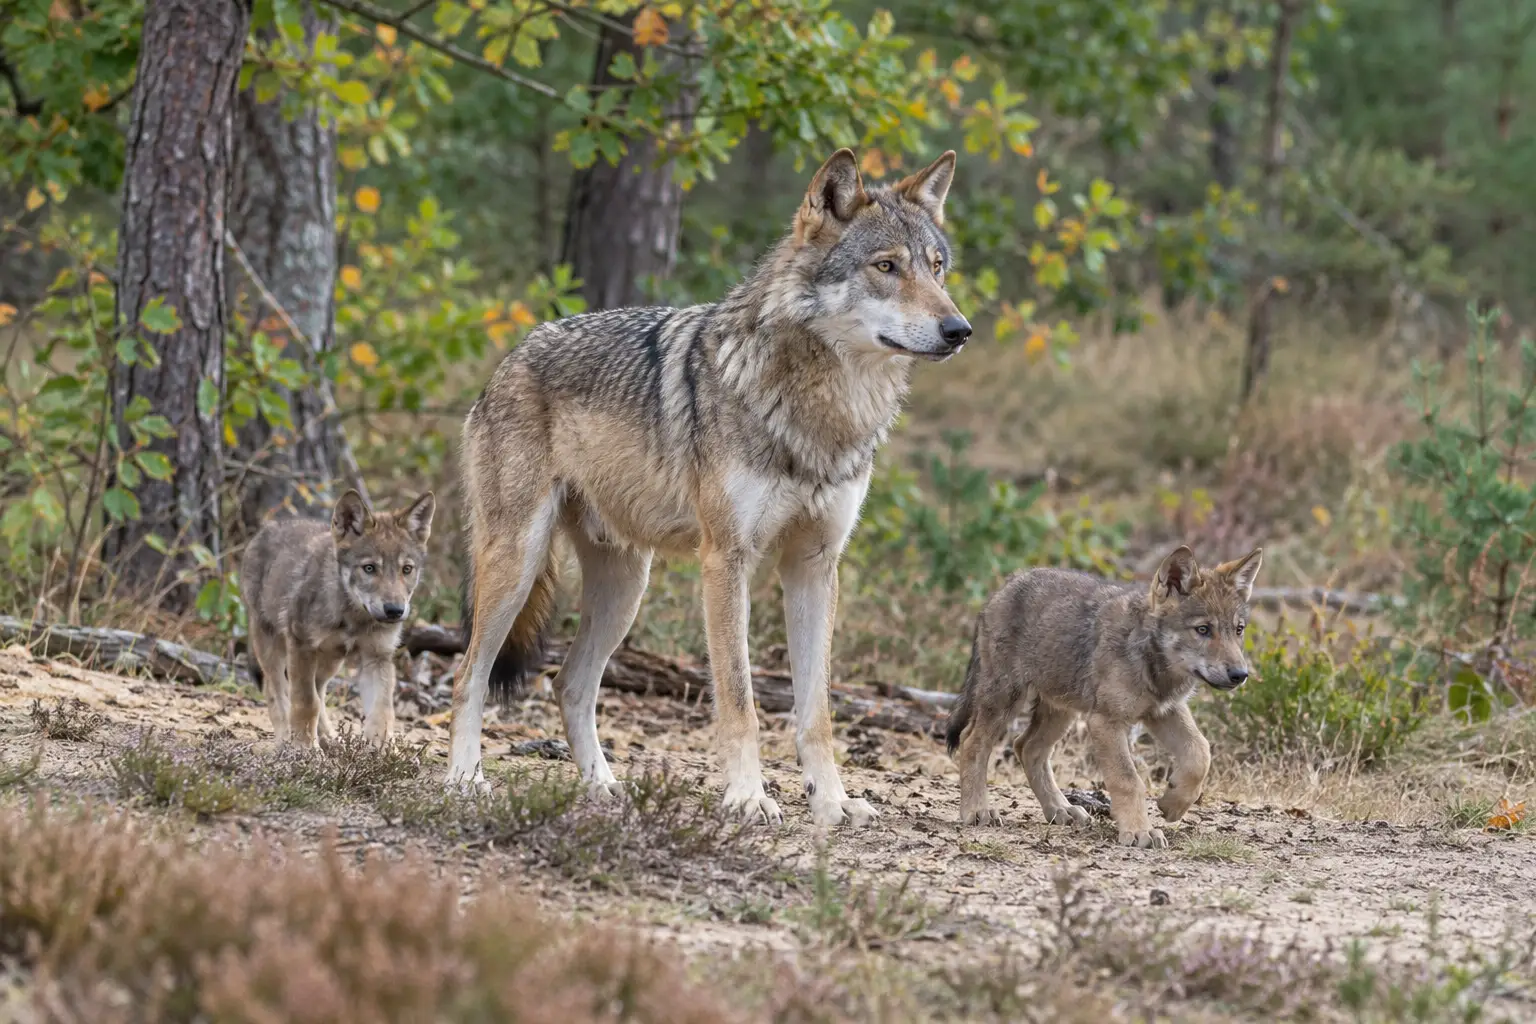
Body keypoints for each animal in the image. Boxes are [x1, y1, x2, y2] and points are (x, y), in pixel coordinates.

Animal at [241, 489, 435, 748]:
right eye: (369, 568)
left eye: (407, 569)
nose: (394, 610)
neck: (354, 617)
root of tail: (266, 528)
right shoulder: (301, 645)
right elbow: (305, 702)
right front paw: (304, 749)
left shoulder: (377, 656)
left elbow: (382, 711)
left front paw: (383, 752)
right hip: (271, 647)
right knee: (275, 691)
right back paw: (285, 740)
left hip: (330, 661)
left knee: (320, 691)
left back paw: (330, 738)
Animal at [448, 148, 971, 826]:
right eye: (886, 267)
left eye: (936, 268)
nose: (959, 328)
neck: (823, 409)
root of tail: (510, 358)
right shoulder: (727, 560)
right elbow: (740, 700)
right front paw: (748, 797)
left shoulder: (815, 565)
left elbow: (817, 712)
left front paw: (831, 802)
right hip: (517, 564)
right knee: (469, 673)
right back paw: (465, 780)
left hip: (626, 588)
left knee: (569, 683)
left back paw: (604, 787)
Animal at [945, 545, 1263, 848]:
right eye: (1203, 629)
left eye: (1238, 630)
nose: (1240, 674)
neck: (1153, 665)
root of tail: (1005, 585)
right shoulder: (1107, 721)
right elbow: (1128, 780)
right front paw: (1139, 831)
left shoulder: (1164, 711)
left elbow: (1200, 753)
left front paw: (1173, 804)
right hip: (1007, 699)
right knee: (972, 741)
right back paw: (976, 811)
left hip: (1062, 710)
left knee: (1026, 747)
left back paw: (1060, 809)